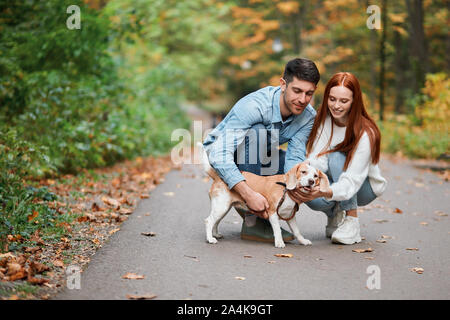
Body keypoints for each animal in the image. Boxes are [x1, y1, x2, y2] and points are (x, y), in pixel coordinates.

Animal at [199, 144, 328, 249]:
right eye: (303, 172)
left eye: (315, 176)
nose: (311, 181)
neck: (286, 190)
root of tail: (218, 177)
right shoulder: (272, 213)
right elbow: (277, 230)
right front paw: (279, 242)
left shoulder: (290, 216)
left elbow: (297, 231)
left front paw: (302, 241)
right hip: (221, 207)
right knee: (209, 221)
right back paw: (210, 239)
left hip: (223, 208)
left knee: (215, 222)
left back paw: (215, 234)